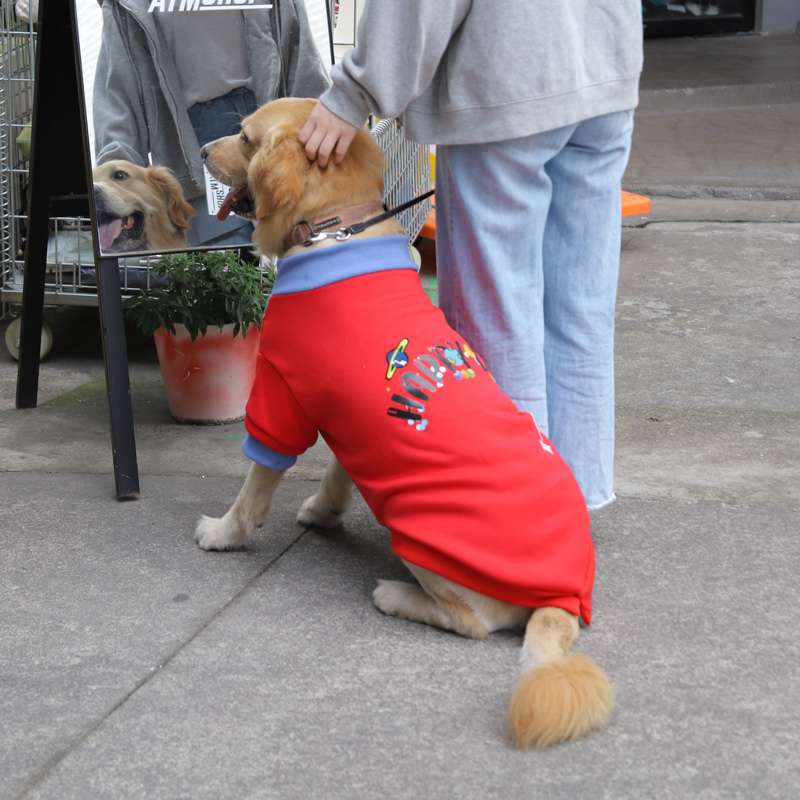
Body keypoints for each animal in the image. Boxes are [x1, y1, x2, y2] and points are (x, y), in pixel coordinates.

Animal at [195, 98, 612, 752]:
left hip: (423, 540)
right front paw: (323, 512)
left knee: (474, 623)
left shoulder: (280, 395)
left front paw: (224, 533)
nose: (201, 152)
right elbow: (340, 470)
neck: (337, 228)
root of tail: (562, 595)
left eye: (243, 136)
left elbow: (256, 483)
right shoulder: (346, 414)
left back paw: (395, 595)